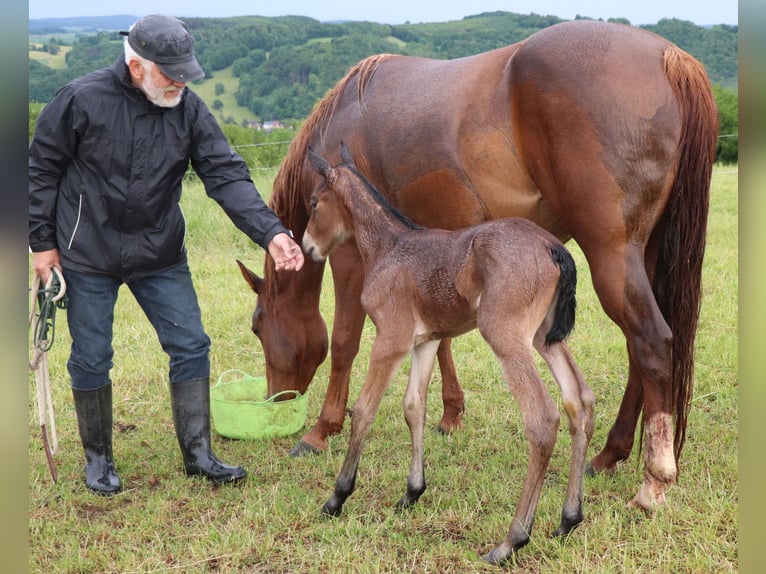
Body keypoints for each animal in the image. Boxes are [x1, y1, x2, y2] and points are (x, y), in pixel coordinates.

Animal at [236, 19, 718, 511]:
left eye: (258, 327)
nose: (274, 403)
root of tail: (671, 58)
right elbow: (440, 343)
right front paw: (450, 413)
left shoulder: (350, 258)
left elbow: (345, 342)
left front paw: (320, 430)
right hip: (645, 255)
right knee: (643, 351)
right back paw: (610, 454)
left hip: (612, 255)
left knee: (651, 341)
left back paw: (653, 479)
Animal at [305, 143, 594, 565]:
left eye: (313, 203)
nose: (307, 247)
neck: (389, 247)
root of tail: (552, 246)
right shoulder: (424, 342)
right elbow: (413, 407)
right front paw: (411, 493)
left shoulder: (391, 339)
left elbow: (365, 410)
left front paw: (337, 497)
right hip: (545, 337)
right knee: (579, 401)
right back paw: (568, 520)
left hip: (505, 335)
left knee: (542, 418)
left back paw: (511, 541)